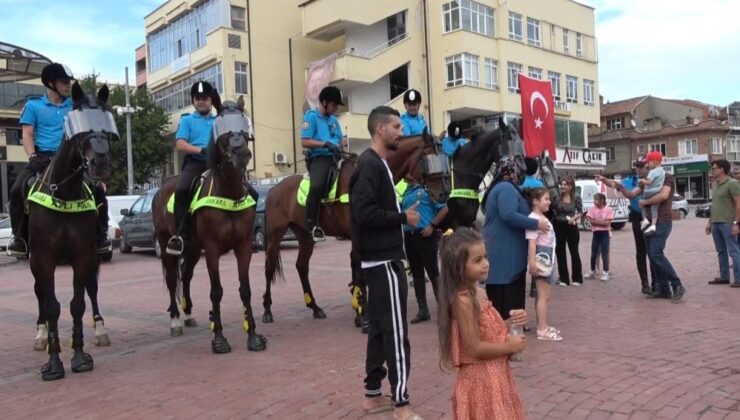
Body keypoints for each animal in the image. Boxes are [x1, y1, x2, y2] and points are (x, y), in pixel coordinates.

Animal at [28, 83, 115, 380]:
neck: (64, 194)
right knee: (40, 295)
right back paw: (41, 335)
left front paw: (79, 357)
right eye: (80, 126)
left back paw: (99, 329)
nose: (101, 163)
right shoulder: (42, 259)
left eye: (106, 123)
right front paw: (54, 362)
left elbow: (78, 303)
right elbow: (51, 305)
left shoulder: (83, 255)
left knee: (92, 289)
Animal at [151, 97, 266, 352]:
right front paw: (219, 338)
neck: (229, 194)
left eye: (244, 126)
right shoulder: (212, 249)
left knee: (186, 275)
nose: (242, 153)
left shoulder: (243, 247)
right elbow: (216, 291)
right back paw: (176, 321)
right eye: (221, 130)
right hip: (168, 246)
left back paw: (188, 314)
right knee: (172, 279)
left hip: (193, 249)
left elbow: (245, 290)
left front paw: (253, 335)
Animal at [264, 131, 448, 324]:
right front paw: (363, 313)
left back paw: (315, 307)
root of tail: (274, 189)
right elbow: (360, 271)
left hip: (305, 236)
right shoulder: (357, 235)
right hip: (275, 235)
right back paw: (267, 311)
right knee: (269, 268)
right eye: (428, 160)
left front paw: (360, 309)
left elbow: (360, 269)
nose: (443, 193)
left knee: (301, 266)